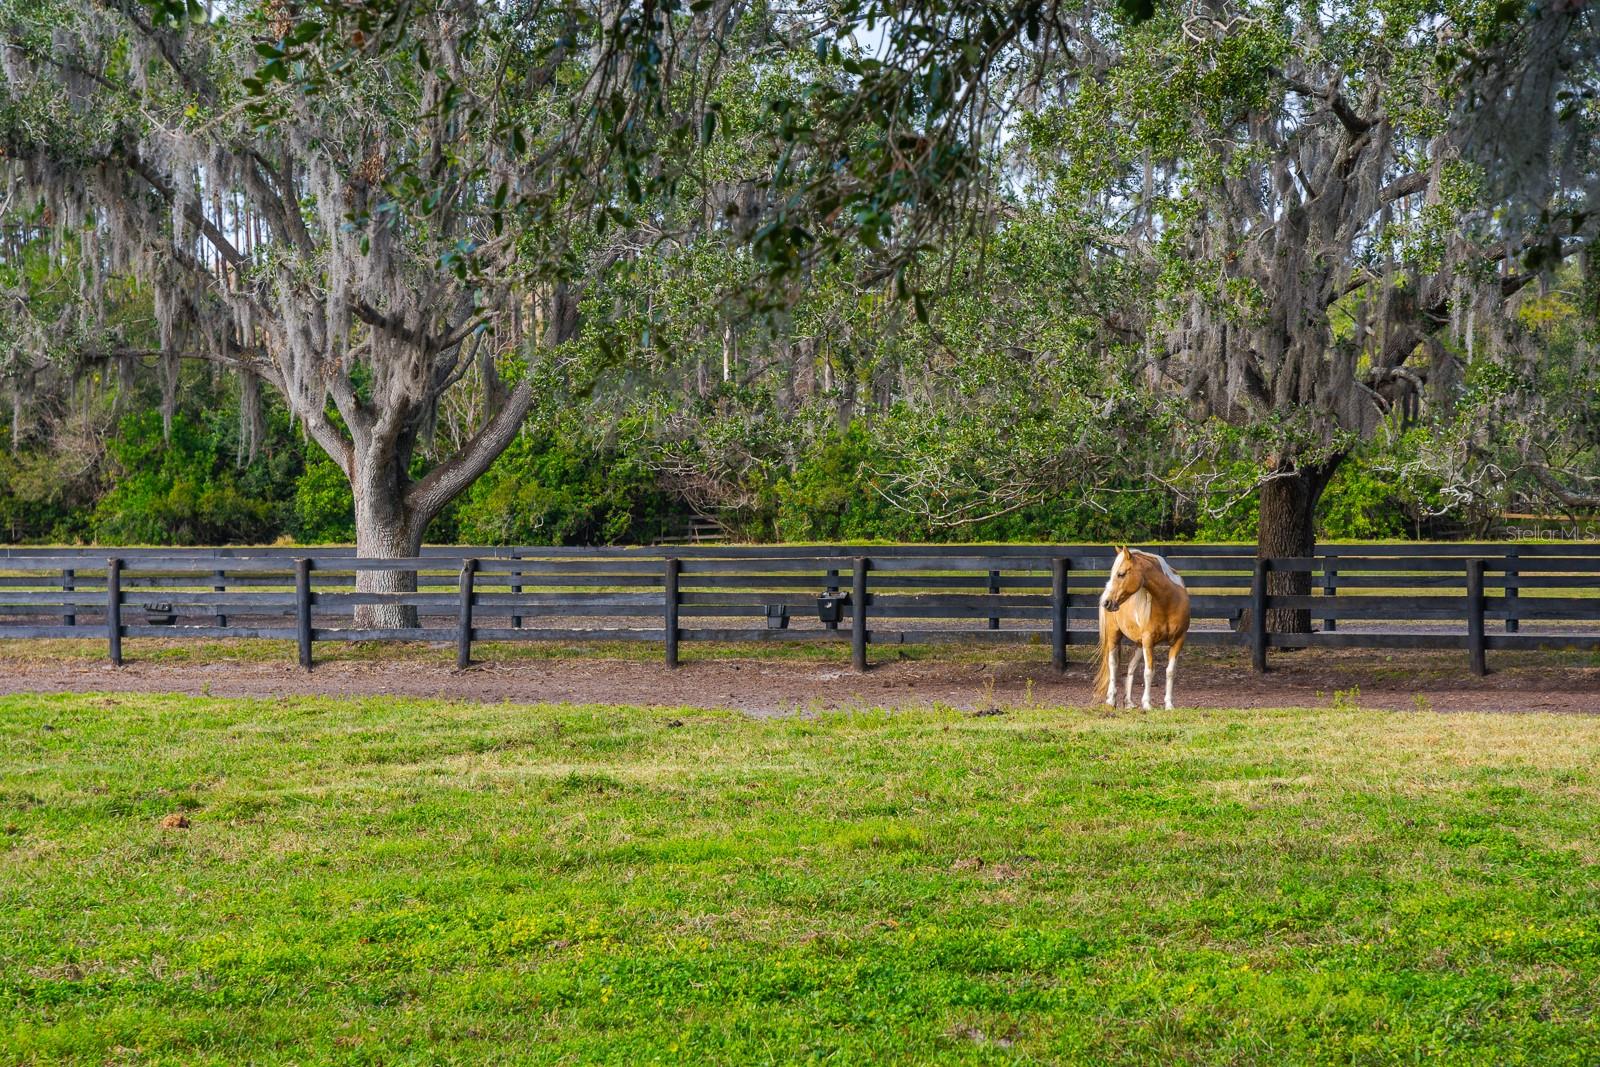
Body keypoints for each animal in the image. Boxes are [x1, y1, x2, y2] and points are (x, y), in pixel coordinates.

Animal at [1094, 550, 1196, 710]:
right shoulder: (1148, 640)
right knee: (1113, 665)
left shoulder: (1179, 640)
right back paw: (1111, 700)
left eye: (1121, 574)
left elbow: (1170, 671)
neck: (1169, 601)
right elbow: (1149, 672)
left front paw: (1169, 704)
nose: (1106, 602)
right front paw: (1147, 704)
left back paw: (1129, 702)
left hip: (1138, 643)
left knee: (1130, 667)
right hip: (1114, 636)